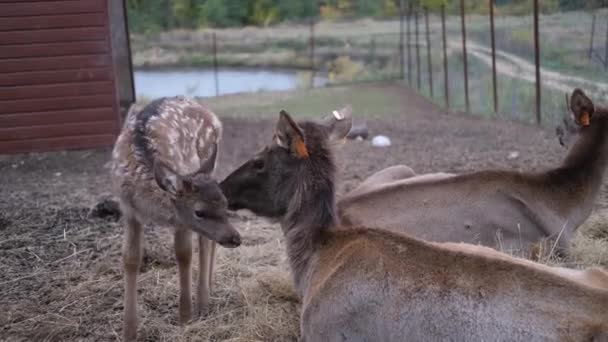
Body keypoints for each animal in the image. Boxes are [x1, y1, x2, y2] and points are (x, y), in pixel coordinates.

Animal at [111, 97, 240, 340]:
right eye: (199, 211)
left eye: (226, 203)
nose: (236, 238)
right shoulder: (128, 209)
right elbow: (130, 259)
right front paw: (129, 330)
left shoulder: (181, 222)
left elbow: (184, 255)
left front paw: (185, 317)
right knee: (208, 240)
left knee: (205, 241)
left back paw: (203, 299)